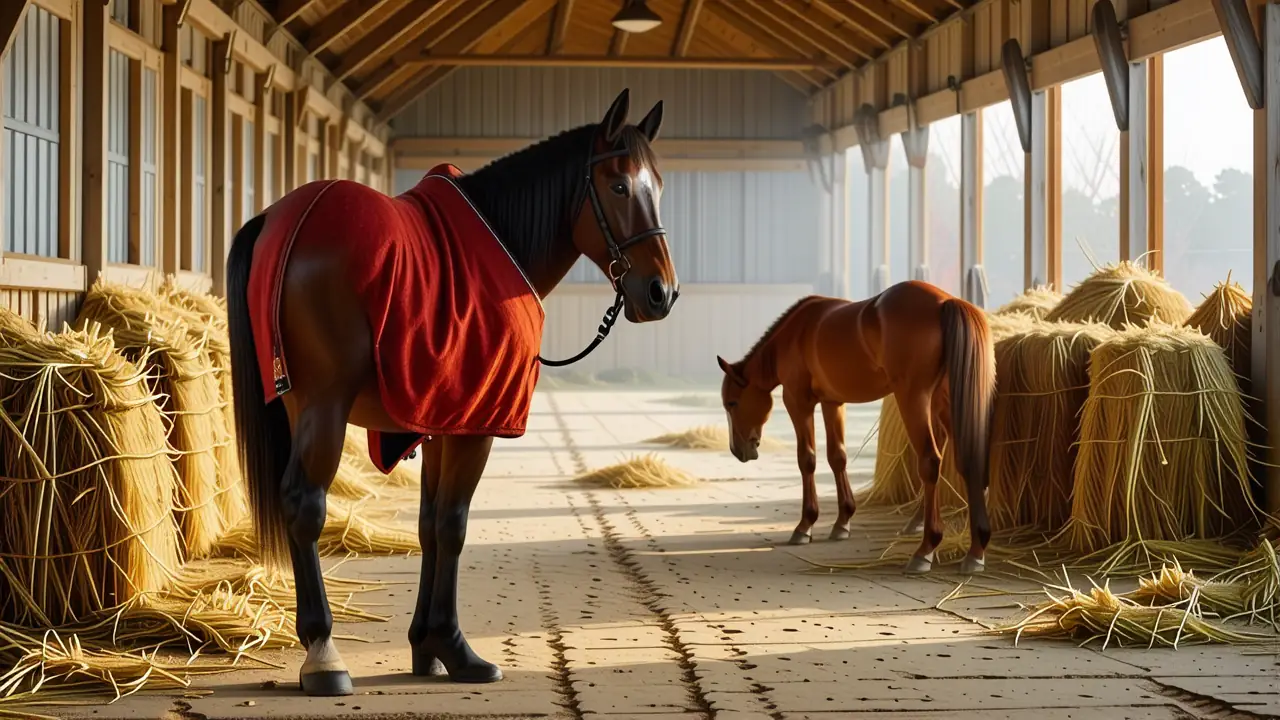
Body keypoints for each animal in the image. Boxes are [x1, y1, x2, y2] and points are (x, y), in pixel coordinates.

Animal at [226, 89, 679, 697]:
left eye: (659, 185)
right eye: (620, 186)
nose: (661, 293)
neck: (502, 240)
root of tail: (282, 219)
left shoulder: (442, 418)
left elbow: (429, 525)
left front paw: (426, 647)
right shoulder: (476, 425)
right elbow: (454, 525)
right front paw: (458, 649)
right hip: (323, 407)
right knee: (305, 504)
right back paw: (323, 655)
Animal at [716, 281, 995, 575]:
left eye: (732, 403)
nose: (738, 450)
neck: (795, 333)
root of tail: (945, 302)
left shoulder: (798, 402)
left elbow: (807, 460)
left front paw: (805, 525)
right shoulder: (832, 403)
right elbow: (837, 457)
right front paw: (842, 521)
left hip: (915, 398)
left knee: (930, 461)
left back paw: (926, 549)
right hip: (946, 399)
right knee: (968, 461)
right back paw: (975, 550)